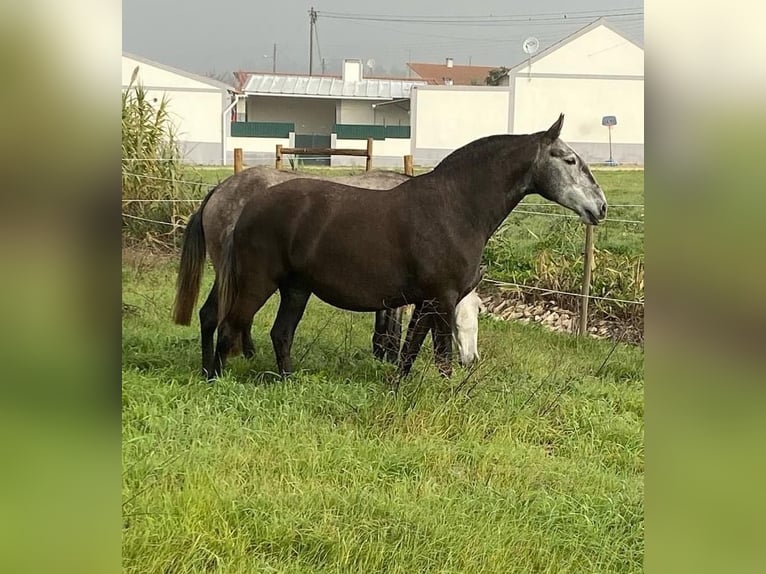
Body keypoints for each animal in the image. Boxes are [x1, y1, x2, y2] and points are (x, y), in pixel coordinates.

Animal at [172, 165, 480, 378]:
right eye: (463, 319)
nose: (471, 360)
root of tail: (218, 191)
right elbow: (391, 332)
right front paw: (390, 358)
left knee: (211, 315)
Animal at [210, 114, 608, 380]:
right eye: (570, 160)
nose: (601, 207)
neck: (454, 207)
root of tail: (249, 206)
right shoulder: (443, 299)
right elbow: (441, 357)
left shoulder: (425, 302)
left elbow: (408, 353)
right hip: (258, 283)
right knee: (227, 325)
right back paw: (214, 378)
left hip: (296, 289)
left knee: (281, 334)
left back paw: (287, 381)